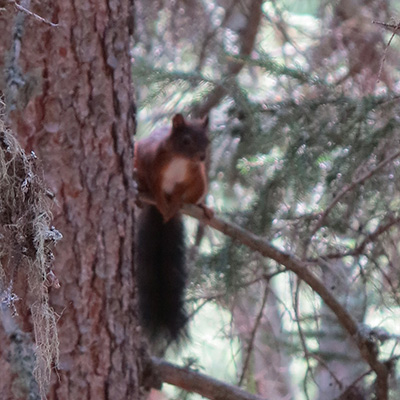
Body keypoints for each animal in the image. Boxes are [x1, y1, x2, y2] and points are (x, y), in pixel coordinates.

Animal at [134, 113, 212, 346]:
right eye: (186, 140)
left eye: (208, 140)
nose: (202, 157)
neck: (181, 160)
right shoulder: (150, 162)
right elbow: (155, 188)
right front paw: (161, 201)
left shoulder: (193, 177)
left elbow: (181, 192)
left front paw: (175, 202)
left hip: (202, 182)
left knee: (194, 198)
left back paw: (203, 208)